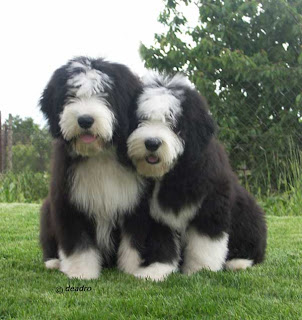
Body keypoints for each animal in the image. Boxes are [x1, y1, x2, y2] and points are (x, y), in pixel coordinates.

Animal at [39, 57, 149, 280]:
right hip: (47, 209)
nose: (85, 120)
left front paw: (133, 270)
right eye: (71, 94)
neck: (100, 155)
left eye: (104, 94)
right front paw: (81, 272)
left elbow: (134, 240)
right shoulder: (69, 200)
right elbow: (79, 241)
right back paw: (53, 262)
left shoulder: (137, 203)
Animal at [120, 72, 266, 280]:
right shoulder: (157, 215)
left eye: (173, 123)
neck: (175, 173)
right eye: (141, 120)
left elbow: (204, 244)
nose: (152, 143)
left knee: (254, 248)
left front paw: (200, 271)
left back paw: (238, 262)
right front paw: (156, 270)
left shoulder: (211, 206)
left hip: (249, 214)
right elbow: (162, 243)